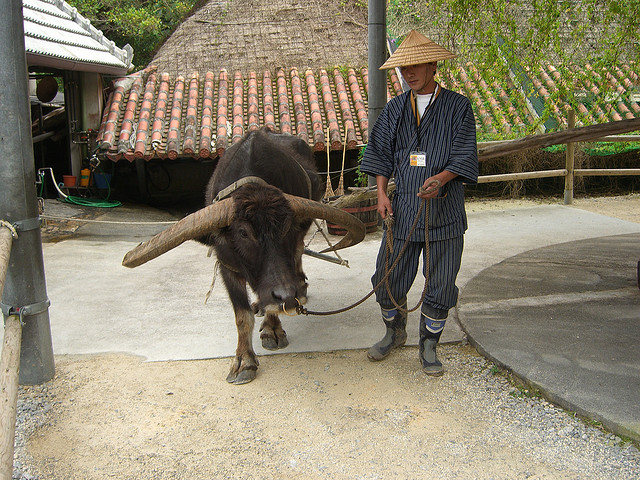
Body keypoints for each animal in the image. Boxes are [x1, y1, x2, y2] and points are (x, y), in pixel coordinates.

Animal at [124, 126, 364, 382]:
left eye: (287, 228)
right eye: (243, 233)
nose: (288, 296)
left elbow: (273, 302)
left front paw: (272, 330)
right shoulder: (227, 265)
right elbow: (242, 315)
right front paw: (244, 361)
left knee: (299, 256)